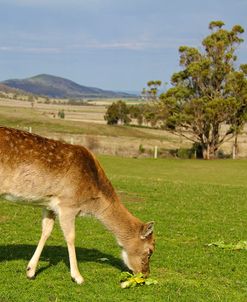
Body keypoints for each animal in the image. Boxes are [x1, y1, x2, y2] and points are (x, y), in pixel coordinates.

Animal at [0, 126, 154, 284]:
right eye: (150, 251)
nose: (145, 274)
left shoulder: (49, 205)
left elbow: (46, 231)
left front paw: (30, 271)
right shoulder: (67, 204)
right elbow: (71, 236)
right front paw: (78, 277)